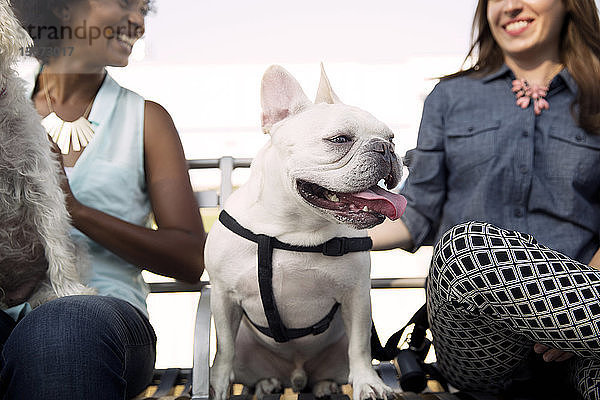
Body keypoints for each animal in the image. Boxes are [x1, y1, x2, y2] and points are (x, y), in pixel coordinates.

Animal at [206, 65, 408, 400]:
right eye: (339, 139)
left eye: (392, 136)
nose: (386, 147)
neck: (294, 228)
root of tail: (296, 375)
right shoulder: (223, 297)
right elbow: (223, 351)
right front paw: (216, 386)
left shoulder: (356, 296)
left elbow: (360, 348)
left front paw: (369, 383)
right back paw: (266, 383)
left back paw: (325, 386)